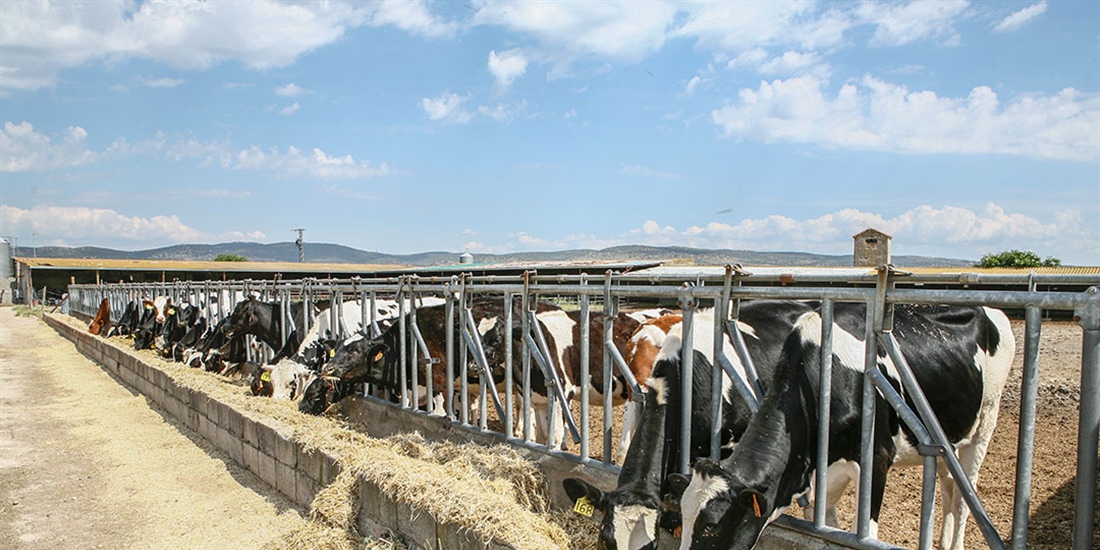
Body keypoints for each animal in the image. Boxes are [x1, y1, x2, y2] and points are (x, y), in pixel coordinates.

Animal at [668, 303, 1012, 550]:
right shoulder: (820, 477)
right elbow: (826, 525)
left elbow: (866, 531)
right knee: (950, 485)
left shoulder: (877, 457)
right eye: (683, 518)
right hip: (950, 436)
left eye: (712, 526)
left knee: (967, 491)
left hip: (985, 423)